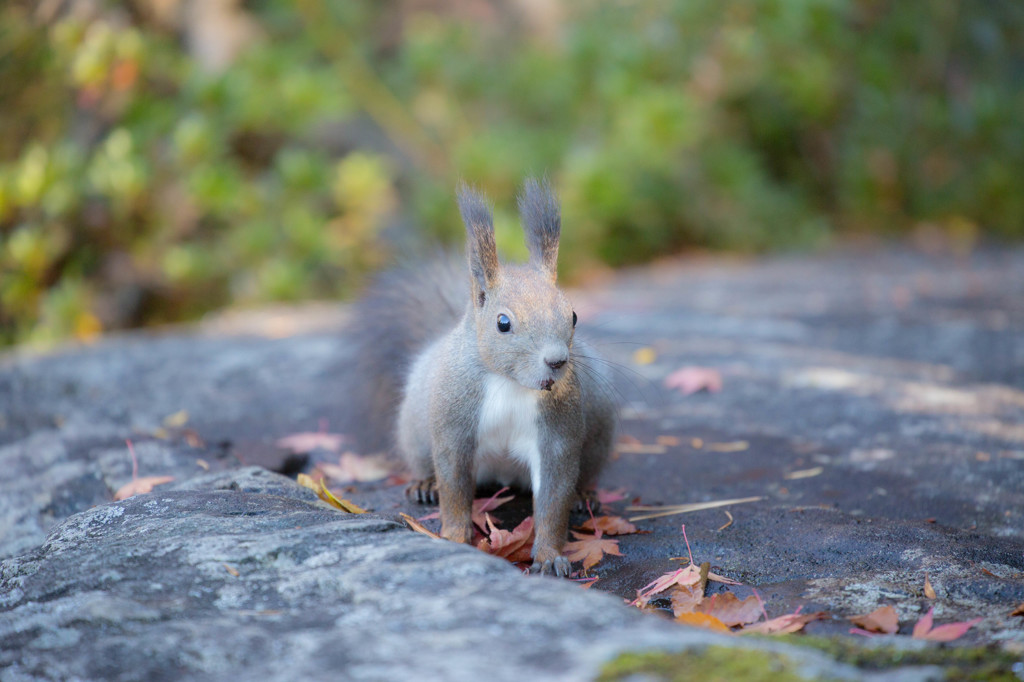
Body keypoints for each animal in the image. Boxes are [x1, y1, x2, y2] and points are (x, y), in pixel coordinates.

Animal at [344, 176, 614, 573]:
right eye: (503, 323)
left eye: (574, 315)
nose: (557, 361)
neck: (510, 383)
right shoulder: (454, 423)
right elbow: (454, 489)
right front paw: (455, 538)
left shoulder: (558, 433)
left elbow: (554, 499)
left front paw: (550, 556)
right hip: (414, 430)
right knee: (425, 463)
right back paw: (424, 485)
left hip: (598, 433)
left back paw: (585, 494)